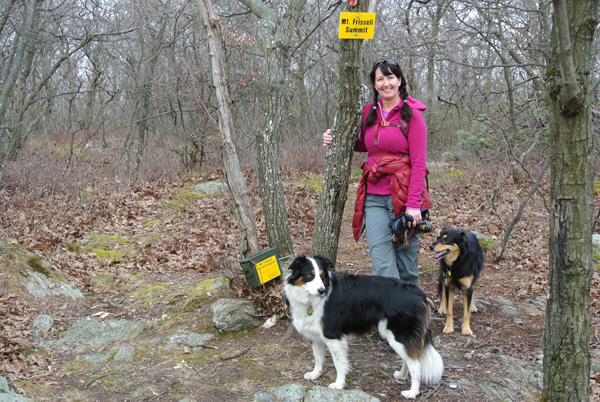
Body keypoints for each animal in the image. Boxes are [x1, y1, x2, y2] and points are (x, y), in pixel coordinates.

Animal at [284, 254, 442, 398]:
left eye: (322, 276)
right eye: (309, 276)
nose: (322, 291)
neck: (310, 300)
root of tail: (419, 293)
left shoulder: (333, 336)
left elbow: (339, 363)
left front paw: (339, 384)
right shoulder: (315, 335)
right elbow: (318, 358)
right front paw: (315, 374)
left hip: (398, 334)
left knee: (415, 365)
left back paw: (412, 392)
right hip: (399, 338)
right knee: (408, 358)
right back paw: (401, 375)